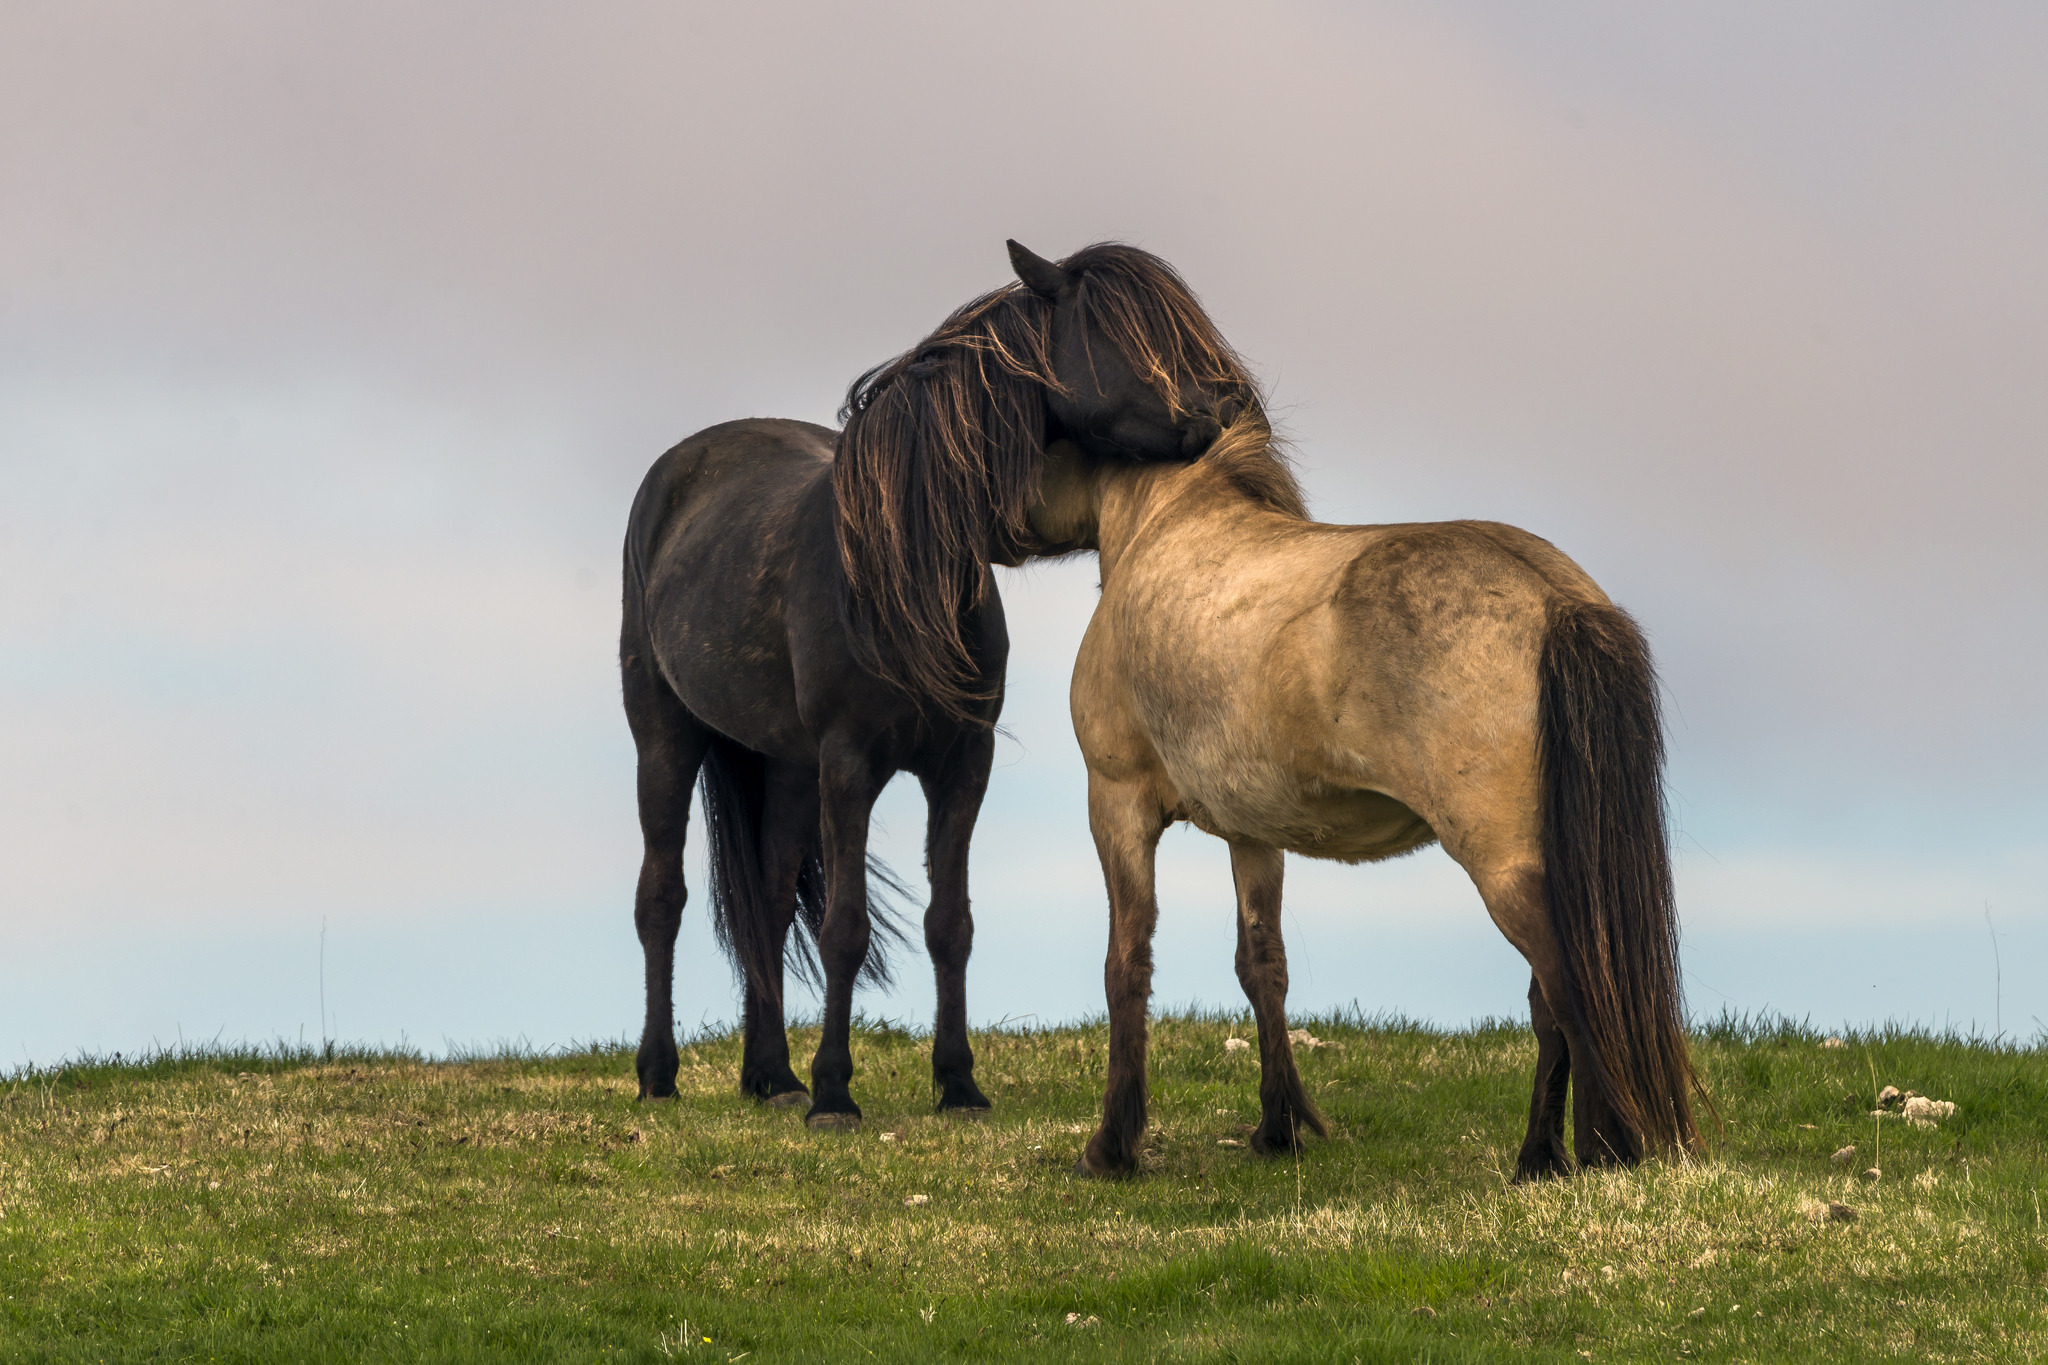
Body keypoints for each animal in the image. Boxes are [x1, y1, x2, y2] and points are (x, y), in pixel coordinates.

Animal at [614, 240, 1253, 1129]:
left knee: (767, 906)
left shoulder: (962, 761)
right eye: (1119, 331)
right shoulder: (849, 764)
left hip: (784, 764)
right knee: (661, 898)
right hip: (667, 736)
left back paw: (772, 1074)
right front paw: (836, 1093)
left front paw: (957, 1082)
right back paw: (661, 1072)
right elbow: (844, 927)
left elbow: (951, 922)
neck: (901, 569)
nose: (1233, 406)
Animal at [1024, 413, 1712, 1178]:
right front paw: (1278, 1127)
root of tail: (1557, 599)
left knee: (1570, 990)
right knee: (1549, 1001)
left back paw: (1594, 1151)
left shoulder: (1116, 804)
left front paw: (1112, 1146)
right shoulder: (1252, 831)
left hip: (1506, 867)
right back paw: (1543, 1154)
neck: (1166, 529)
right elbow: (1261, 965)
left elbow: (1126, 963)